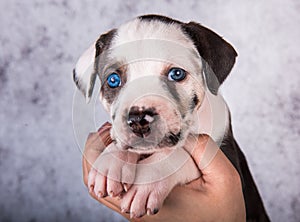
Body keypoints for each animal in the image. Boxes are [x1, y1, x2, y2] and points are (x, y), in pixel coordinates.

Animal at [72, 14, 270, 221]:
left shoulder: (230, 162)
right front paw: (112, 161)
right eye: (113, 80)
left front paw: (149, 178)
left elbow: (179, 153)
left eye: (176, 73)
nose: (138, 120)